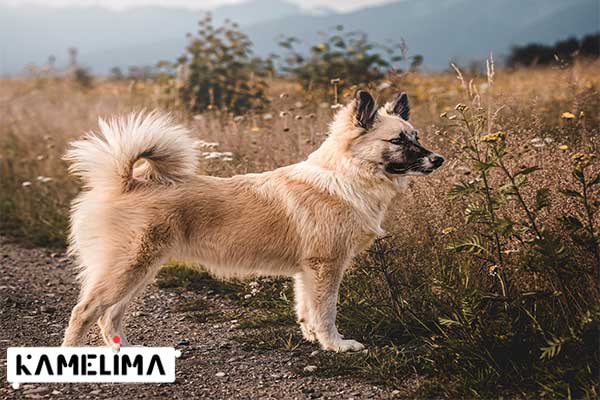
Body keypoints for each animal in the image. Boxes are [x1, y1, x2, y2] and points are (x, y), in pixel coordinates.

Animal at [63, 90, 442, 350]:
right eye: (398, 140)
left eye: (417, 137)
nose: (438, 159)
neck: (345, 175)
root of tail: (127, 181)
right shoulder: (326, 266)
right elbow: (326, 311)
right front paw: (335, 345)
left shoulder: (306, 271)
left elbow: (307, 309)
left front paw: (313, 339)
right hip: (128, 268)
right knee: (84, 311)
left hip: (139, 271)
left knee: (109, 316)